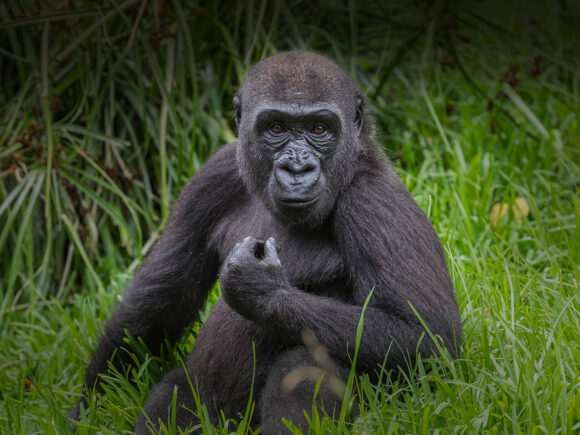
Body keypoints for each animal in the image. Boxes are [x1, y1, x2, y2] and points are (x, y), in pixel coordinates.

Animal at [70, 52, 462, 435]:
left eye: (319, 129)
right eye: (276, 128)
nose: (297, 168)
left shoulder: (375, 200)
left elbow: (427, 338)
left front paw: (261, 290)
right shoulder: (214, 175)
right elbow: (156, 302)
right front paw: (89, 407)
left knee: (305, 362)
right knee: (175, 394)